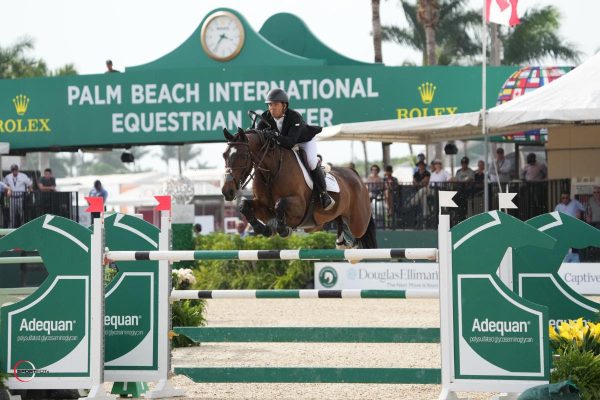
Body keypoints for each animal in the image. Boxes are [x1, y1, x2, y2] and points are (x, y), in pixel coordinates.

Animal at [220, 128, 380, 248]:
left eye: (243, 156)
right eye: (224, 155)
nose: (227, 191)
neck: (271, 173)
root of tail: (356, 175)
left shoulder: (299, 207)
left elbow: (280, 204)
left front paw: (283, 229)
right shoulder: (263, 207)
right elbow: (244, 205)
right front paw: (263, 229)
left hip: (358, 223)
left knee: (359, 234)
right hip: (324, 222)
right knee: (340, 225)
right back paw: (342, 242)